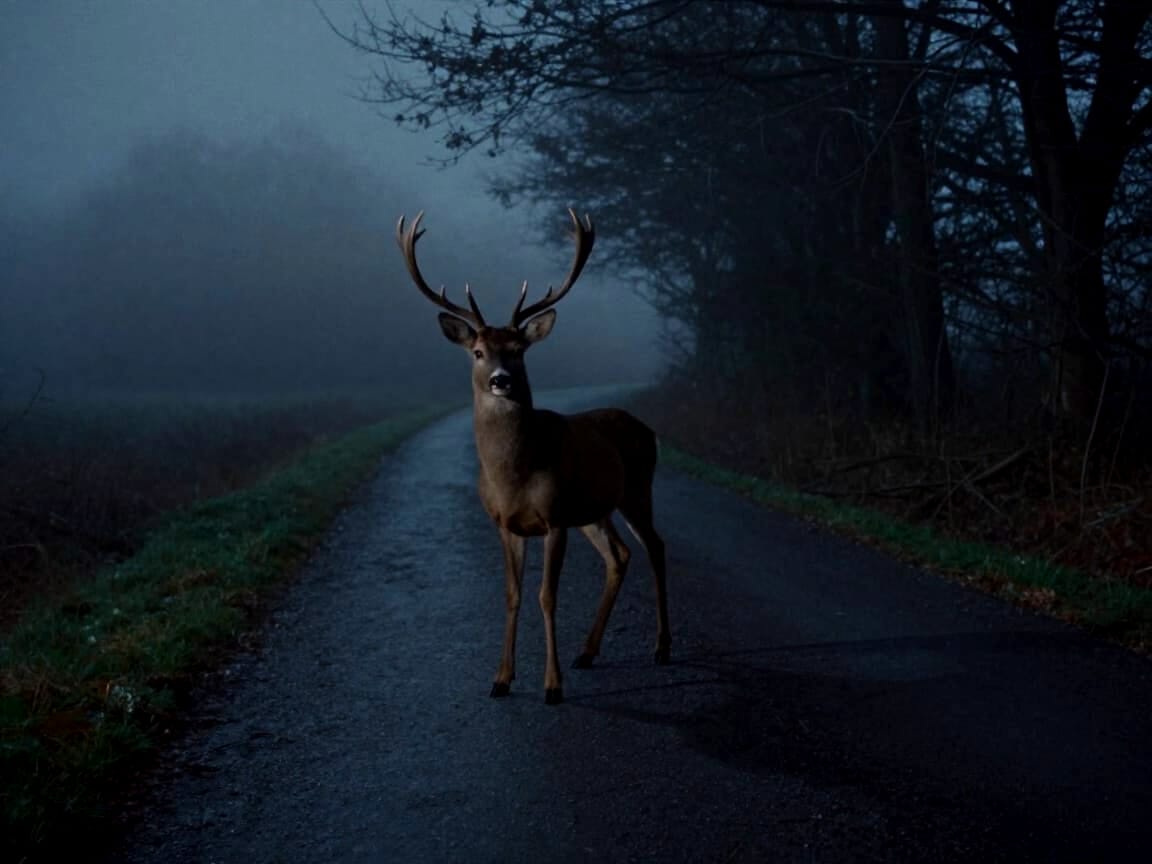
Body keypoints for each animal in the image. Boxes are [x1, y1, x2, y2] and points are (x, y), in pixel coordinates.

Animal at [395, 209, 671, 705]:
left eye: (519, 351)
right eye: (479, 351)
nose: (501, 380)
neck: (512, 475)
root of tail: (647, 428)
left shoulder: (554, 518)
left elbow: (546, 596)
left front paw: (552, 686)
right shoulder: (506, 523)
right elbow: (513, 595)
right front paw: (501, 679)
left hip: (637, 488)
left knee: (655, 547)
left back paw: (661, 647)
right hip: (594, 510)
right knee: (619, 555)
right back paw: (587, 652)